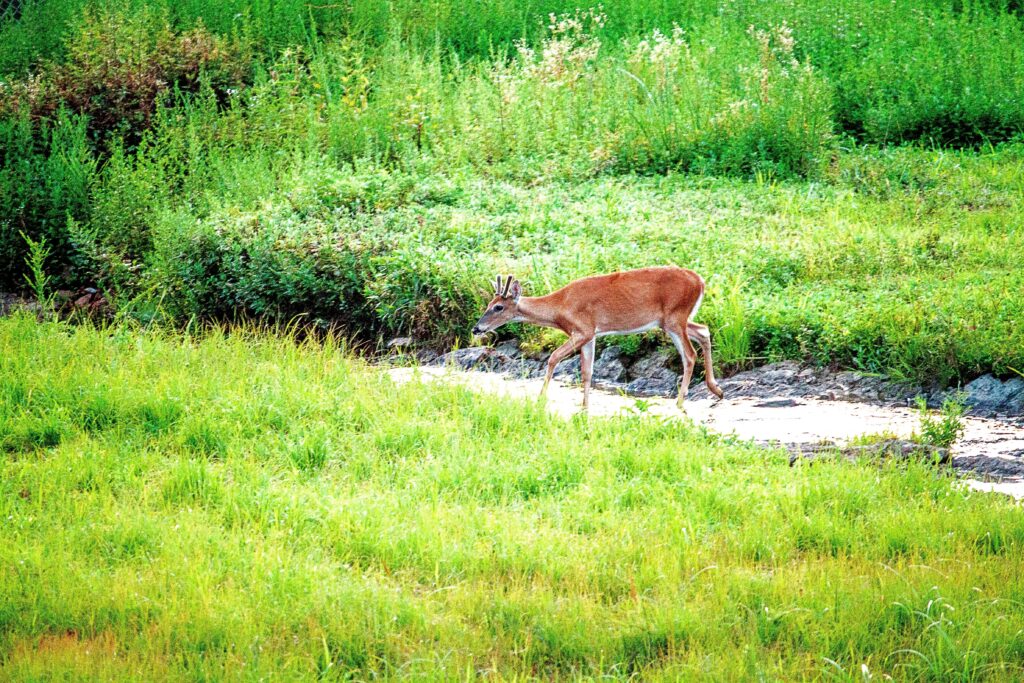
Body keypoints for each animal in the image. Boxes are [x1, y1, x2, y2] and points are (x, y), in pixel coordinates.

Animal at [471, 266, 724, 411]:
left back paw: (680, 402)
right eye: (488, 304)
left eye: (498, 307)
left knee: (689, 355)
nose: (476, 329)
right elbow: (587, 372)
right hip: (675, 319)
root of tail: (700, 282)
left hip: (674, 317)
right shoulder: (591, 334)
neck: (559, 308)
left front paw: (540, 399)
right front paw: (584, 408)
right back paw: (716, 390)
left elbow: (553, 357)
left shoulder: (582, 329)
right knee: (704, 331)